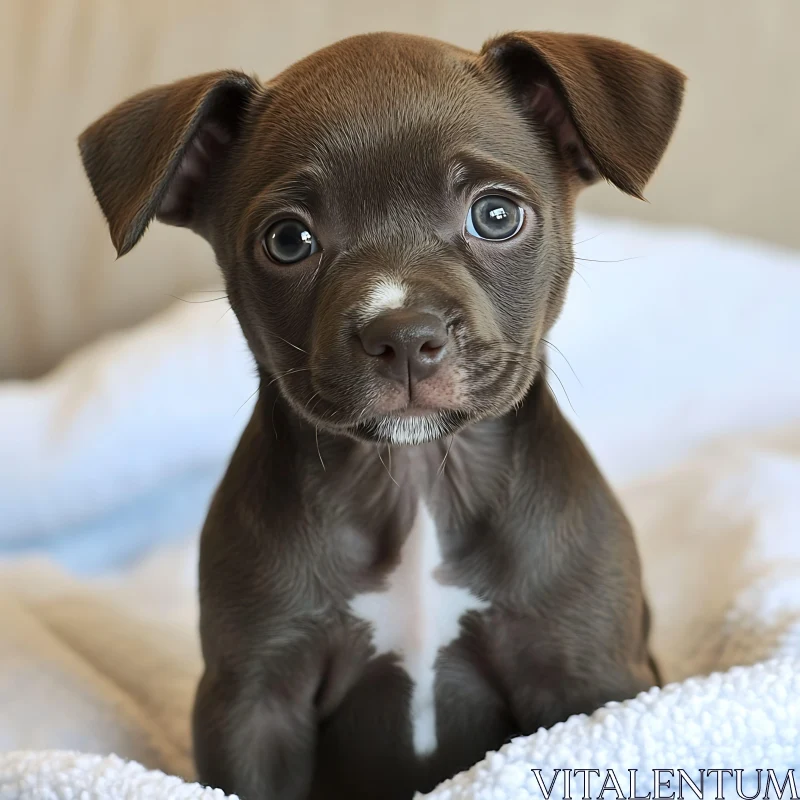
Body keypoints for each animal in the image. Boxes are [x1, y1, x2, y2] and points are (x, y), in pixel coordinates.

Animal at [79, 31, 680, 800]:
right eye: (288, 240)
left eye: (497, 215)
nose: (403, 334)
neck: (416, 474)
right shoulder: (255, 700)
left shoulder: (586, 676)